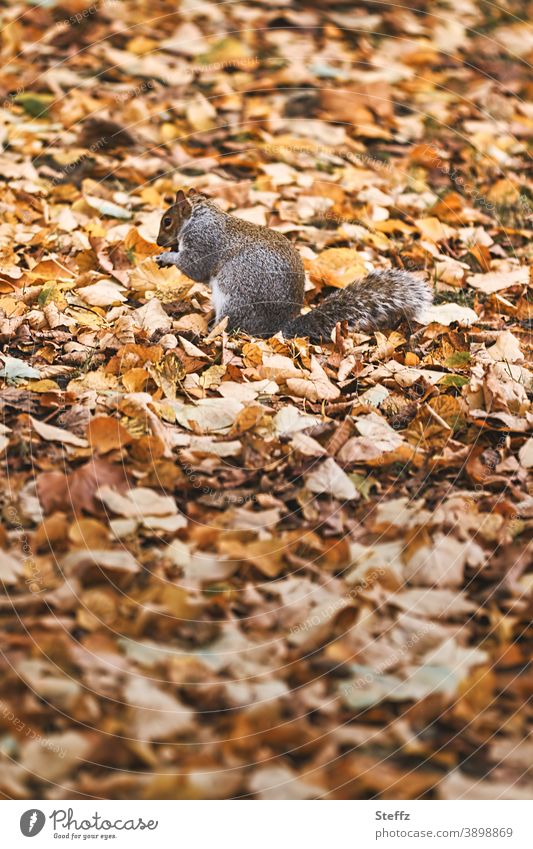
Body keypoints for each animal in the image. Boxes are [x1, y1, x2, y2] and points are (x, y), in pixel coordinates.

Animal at [156, 190, 430, 342]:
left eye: (167, 221)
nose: (158, 242)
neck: (200, 217)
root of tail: (279, 328)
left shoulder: (205, 243)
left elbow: (194, 268)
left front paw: (167, 258)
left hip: (235, 300)